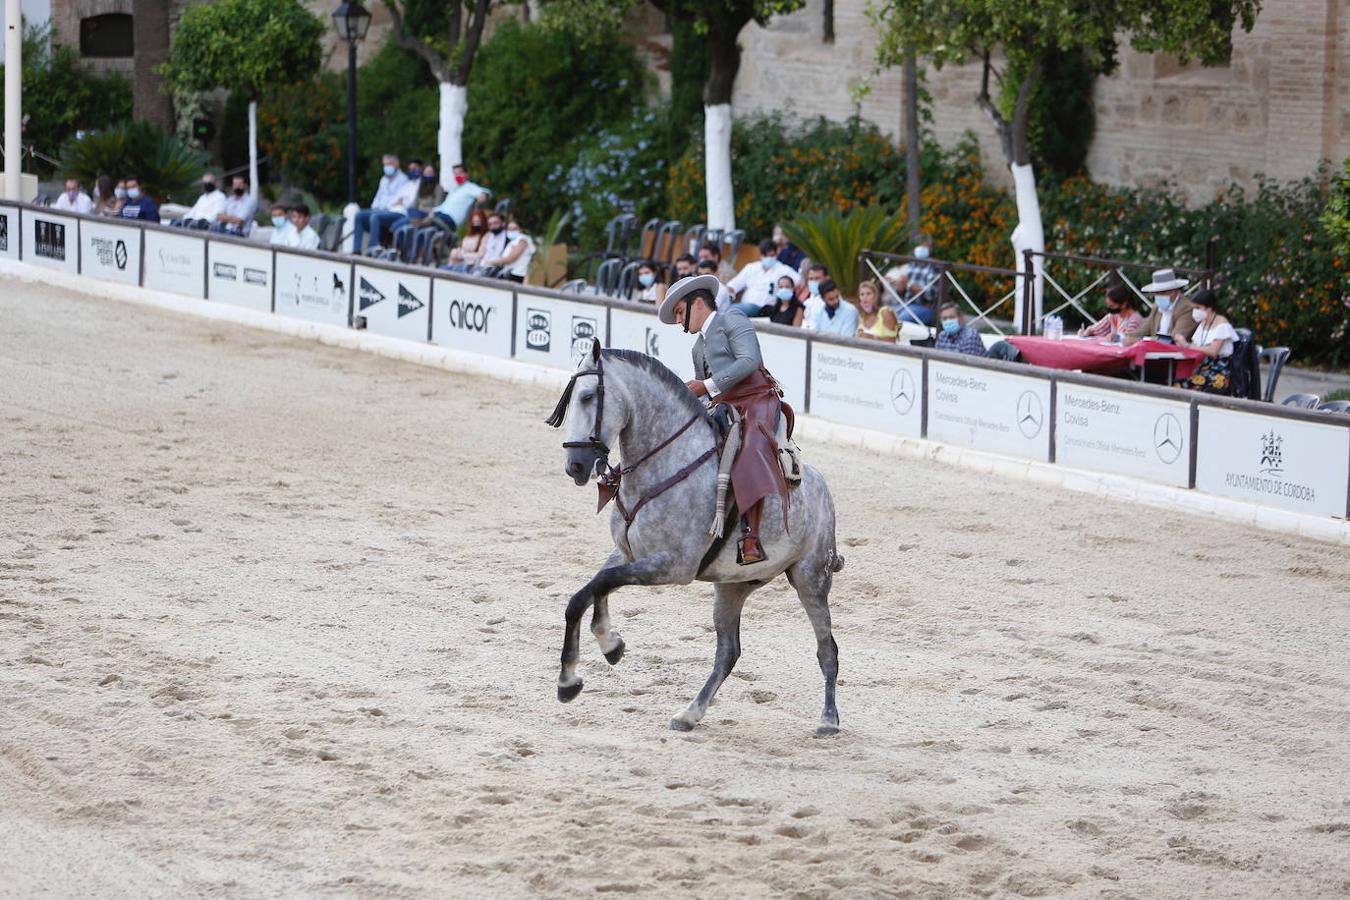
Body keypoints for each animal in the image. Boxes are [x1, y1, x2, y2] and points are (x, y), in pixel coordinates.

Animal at [545, 341, 842, 734]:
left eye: (589, 395)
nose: (575, 465)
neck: (666, 463)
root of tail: (822, 486)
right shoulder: (626, 553)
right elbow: (588, 591)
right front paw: (601, 653)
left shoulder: (672, 566)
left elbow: (600, 585)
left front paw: (588, 662)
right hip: (732, 587)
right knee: (728, 652)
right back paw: (690, 712)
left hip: (811, 580)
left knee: (827, 649)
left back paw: (829, 719)